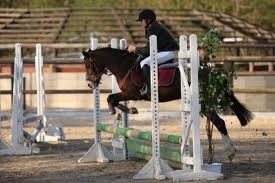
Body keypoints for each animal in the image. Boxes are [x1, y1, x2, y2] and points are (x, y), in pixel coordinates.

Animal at [82, 46, 254, 160]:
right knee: (218, 121)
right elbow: (112, 98)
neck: (123, 65)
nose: (90, 84)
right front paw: (128, 110)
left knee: (219, 122)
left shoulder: (132, 93)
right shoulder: (129, 94)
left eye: (88, 64)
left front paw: (126, 110)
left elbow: (110, 98)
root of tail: (210, 71)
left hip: (202, 103)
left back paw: (230, 151)